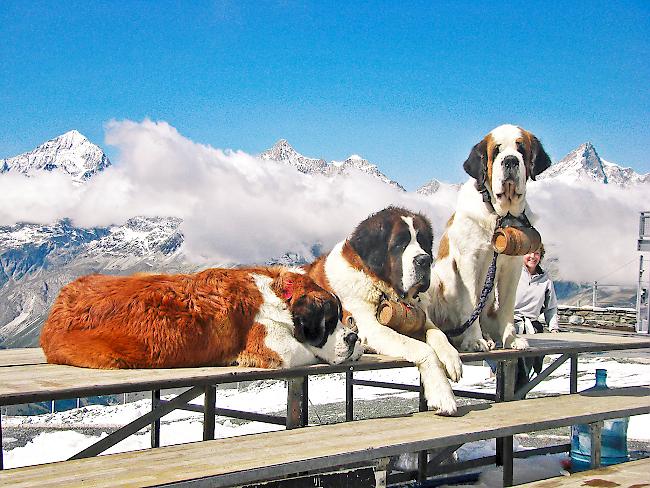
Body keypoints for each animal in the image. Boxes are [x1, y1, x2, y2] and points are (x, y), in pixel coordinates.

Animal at [306, 206, 464, 416]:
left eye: (423, 242)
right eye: (400, 243)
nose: (424, 260)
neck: (381, 285)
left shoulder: (421, 318)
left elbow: (437, 334)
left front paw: (452, 358)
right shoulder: (372, 329)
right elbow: (424, 349)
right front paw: (442, 394)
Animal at [426, 124, 552, 352]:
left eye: (521, 150)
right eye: (496, 151)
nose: (510, 160)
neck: (499, 215)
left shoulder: (512, 266)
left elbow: (508, 306)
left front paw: (511, 339)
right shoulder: (469, 260)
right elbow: (472, 302)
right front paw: (475, 340)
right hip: (435, 283)